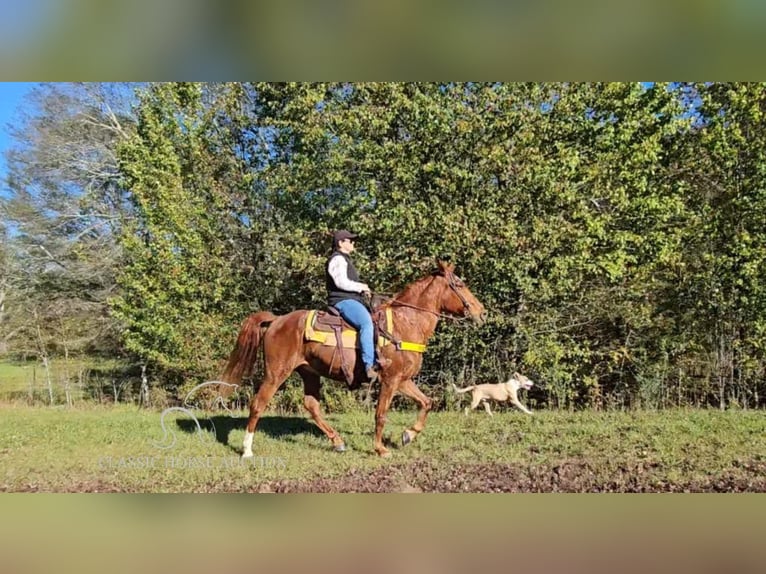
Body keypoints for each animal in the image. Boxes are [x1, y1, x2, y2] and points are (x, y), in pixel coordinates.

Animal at [219, 260, 488, 460]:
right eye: (459, 284)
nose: (482, 312)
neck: (406, 323)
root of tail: (276, 320)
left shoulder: (403, 380)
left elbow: (427, 403)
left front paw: (408, 435)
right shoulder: (390, 380)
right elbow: (381, 415)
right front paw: (381, 449)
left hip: (309, 373)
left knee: (311, 405)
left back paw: (338, 441)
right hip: (276, 373)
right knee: (258, 404)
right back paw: (247, 450)